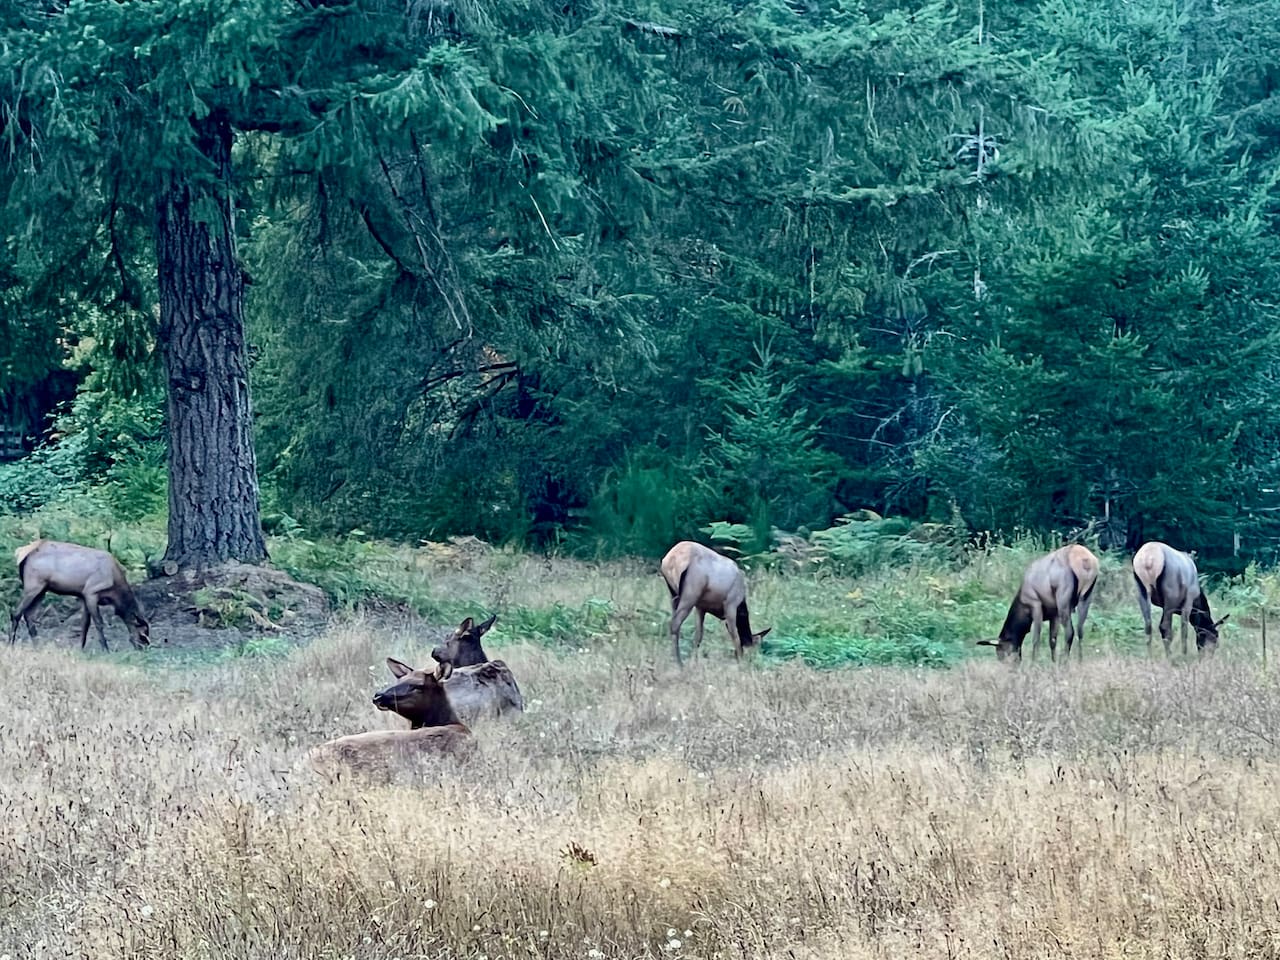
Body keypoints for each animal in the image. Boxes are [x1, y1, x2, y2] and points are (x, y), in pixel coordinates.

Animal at [9, 539, 151, 651]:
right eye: (143, 635)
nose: (144, 648)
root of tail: (21, 555)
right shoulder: (91, 592)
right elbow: (99, 623)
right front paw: (105, 649)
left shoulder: (83, 596)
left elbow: (85, 624)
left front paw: (81, 648)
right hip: (33, 585)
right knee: (16, 613)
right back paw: (11, 643)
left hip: (42, 589)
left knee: (29, 615)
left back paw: (37, 644)